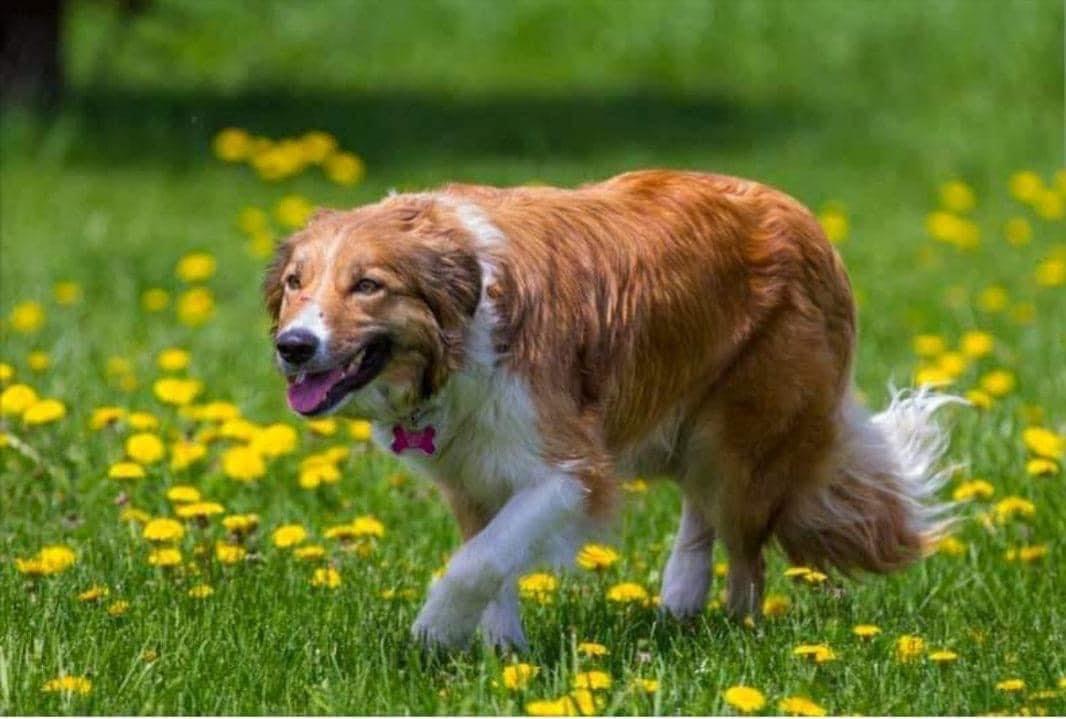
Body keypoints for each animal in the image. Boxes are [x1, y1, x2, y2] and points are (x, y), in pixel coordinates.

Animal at [264, 169, 959, 648]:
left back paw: (735, 638)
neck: (464, 319)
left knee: (747, 557)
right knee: (700, 509)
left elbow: (476, 562)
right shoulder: (473, 472)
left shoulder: (572, 469)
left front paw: (433, 634)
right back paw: (680, 600)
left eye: (367, 285)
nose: (292, 346)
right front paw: (504, 656)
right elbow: (491, 559)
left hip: (742, 444)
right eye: (297, 282)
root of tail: (806, 220)